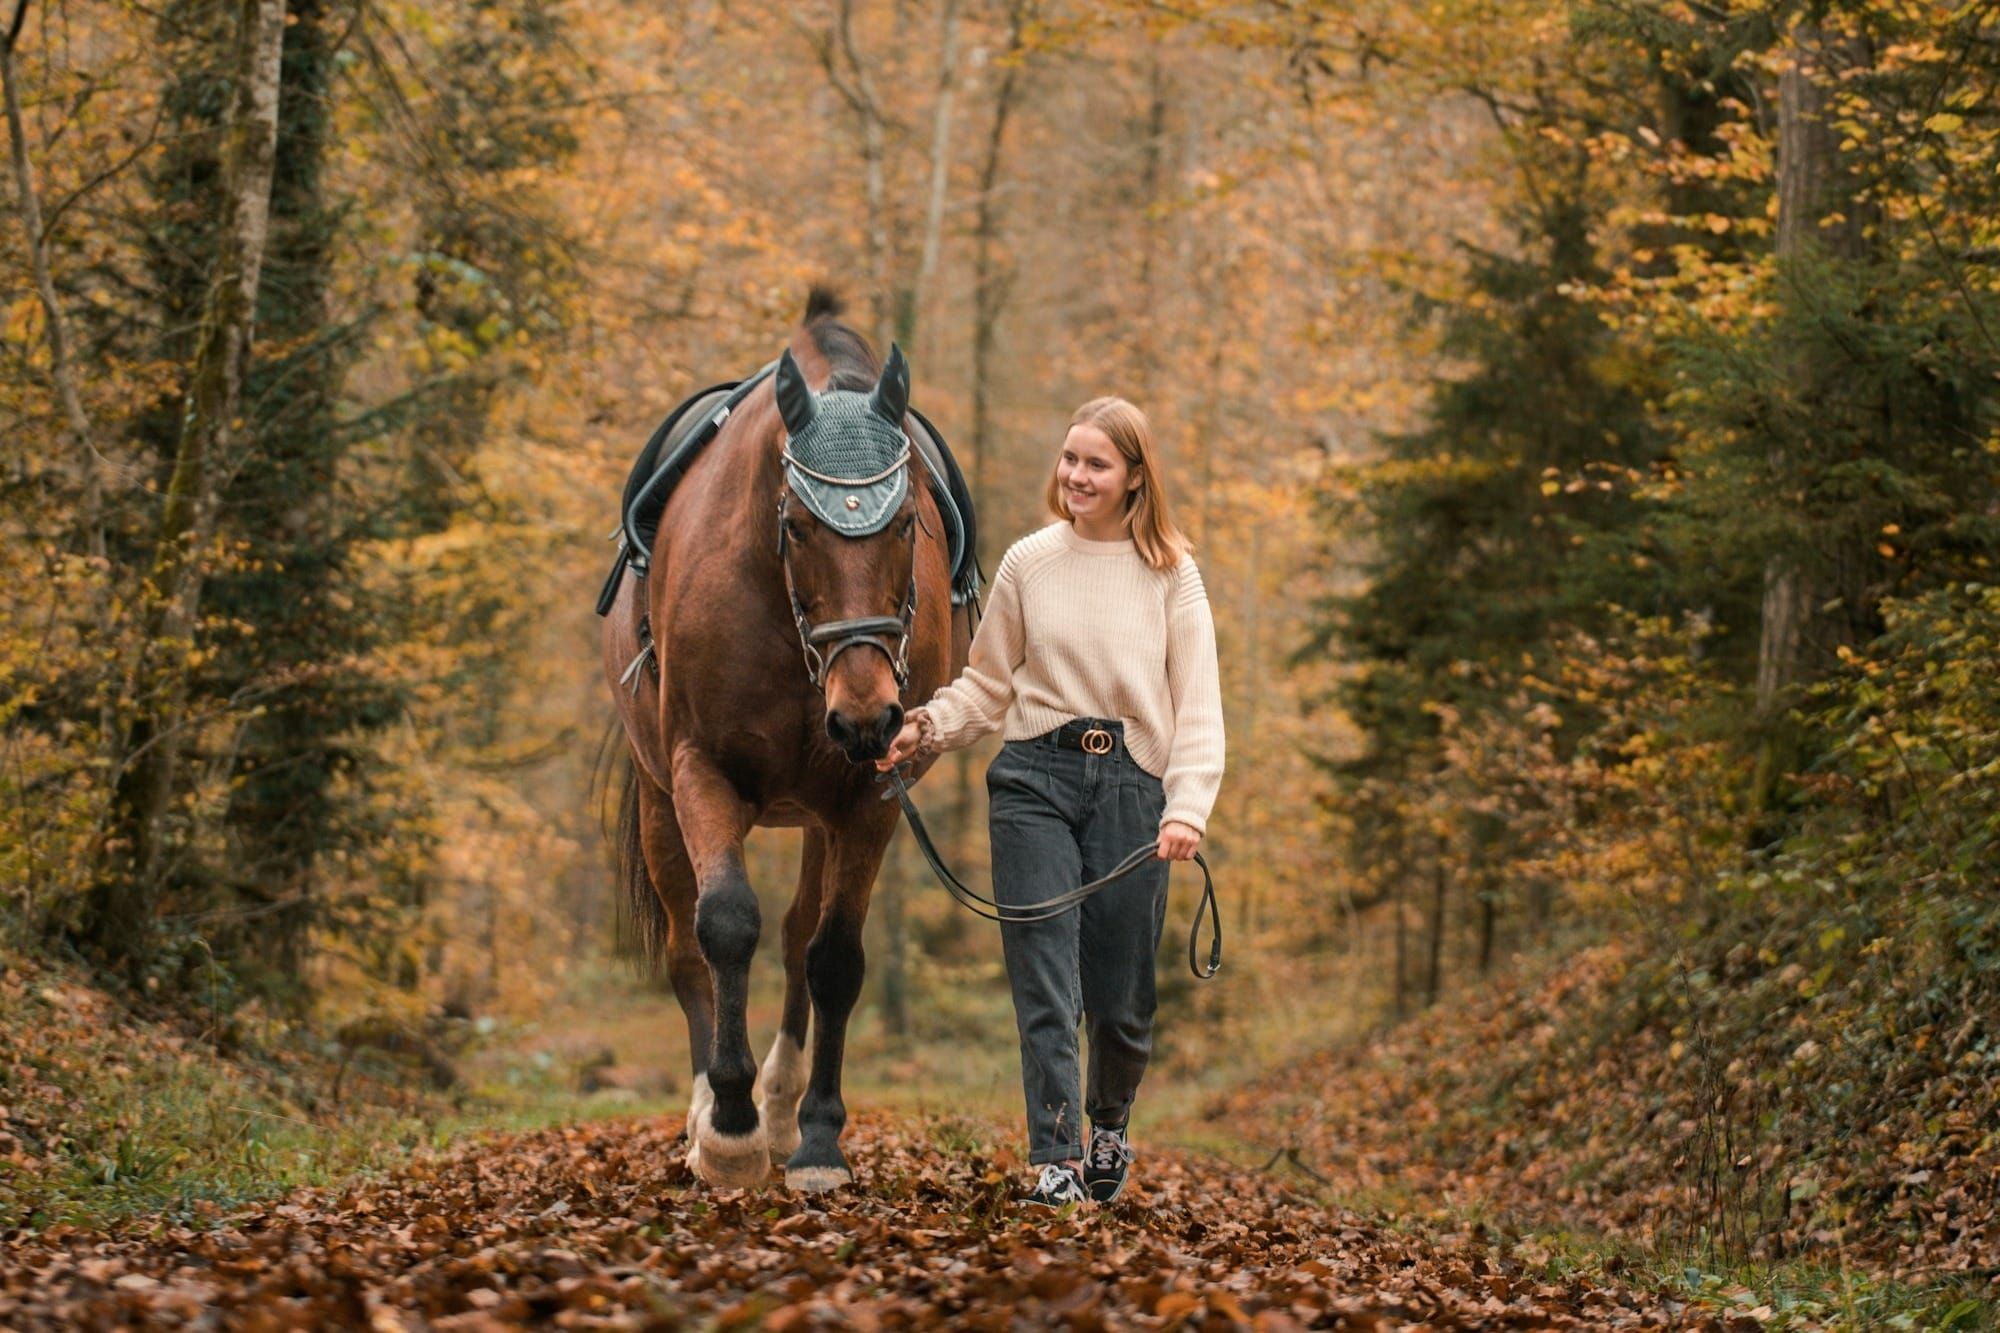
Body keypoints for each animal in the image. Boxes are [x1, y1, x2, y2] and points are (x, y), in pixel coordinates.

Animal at [601, 294, 971, 1192]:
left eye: (907, 522)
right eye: (798, 526)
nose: (866, 713)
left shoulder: (868, 795)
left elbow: (832, 956)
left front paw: (815, 1138)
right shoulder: (702, 770)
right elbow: (726, 923)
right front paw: (728, 1128)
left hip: (819, 810)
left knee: (803, 933)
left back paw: (778, 1107)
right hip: (659, 795)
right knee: (685, 944)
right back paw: (712, 1111)